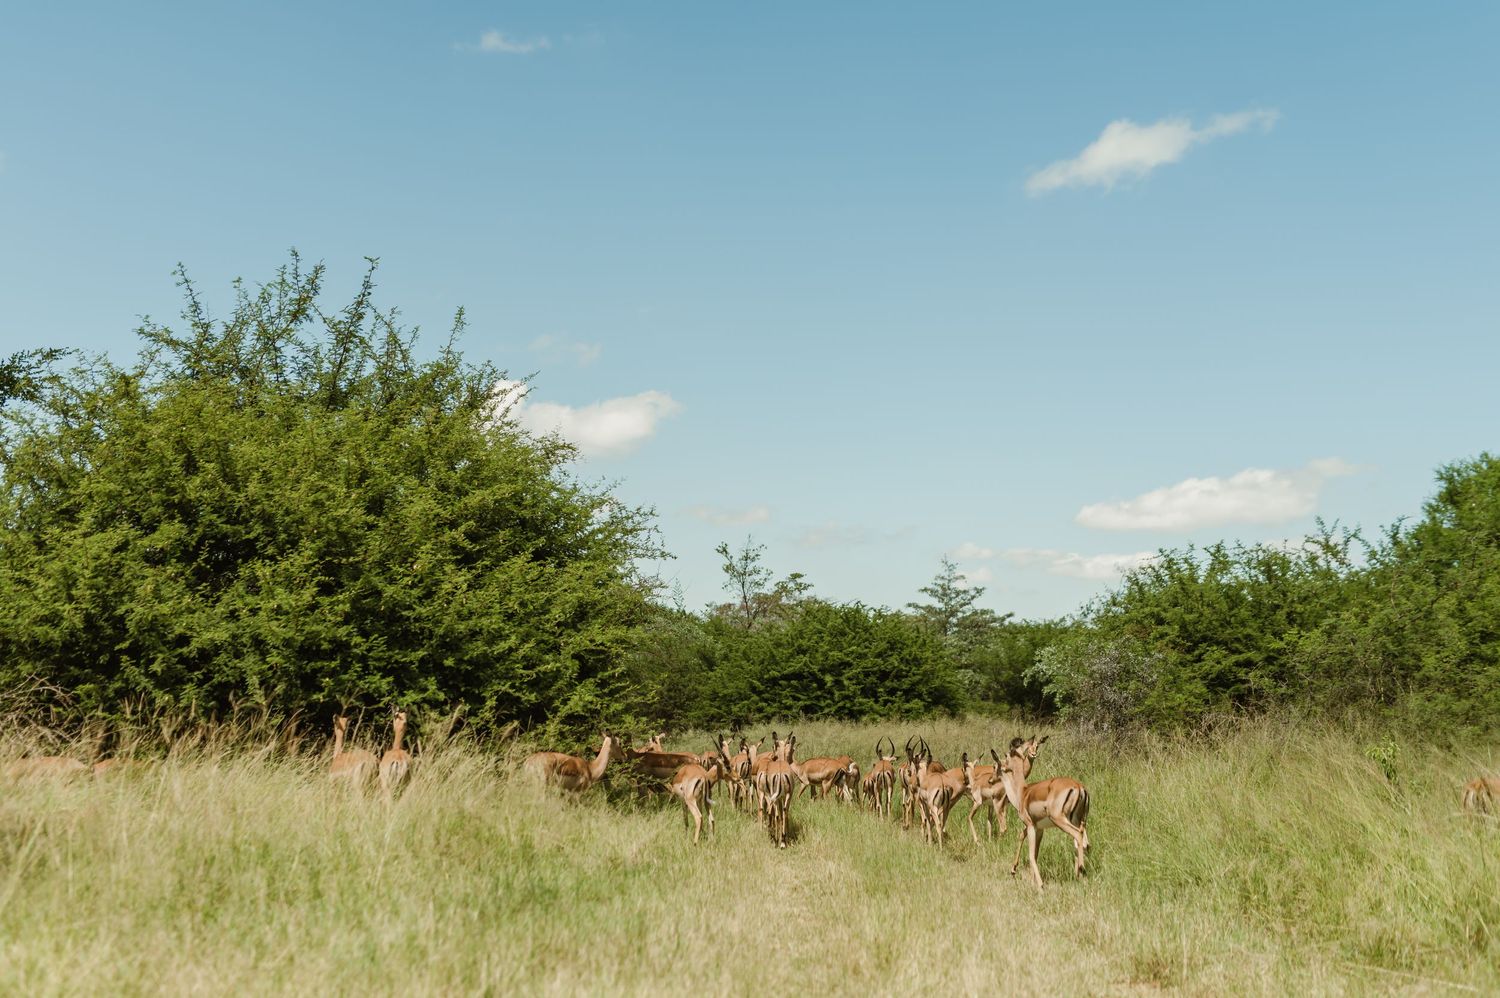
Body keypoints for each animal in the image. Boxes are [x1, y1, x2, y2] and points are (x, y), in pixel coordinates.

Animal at [992, 735, 1090, 890]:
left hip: (1062, 821)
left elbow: (1031, 854)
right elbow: (1035, 853)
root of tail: (1079, 787)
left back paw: (1081, 874)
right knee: (1085, 844)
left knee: (1078, 837)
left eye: (995, 765)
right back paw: (1080, 876)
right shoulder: (1040, 829)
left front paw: (1039, 885)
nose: (990, 780)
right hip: (1080, 821)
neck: (1022, 792)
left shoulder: (1030, 826)